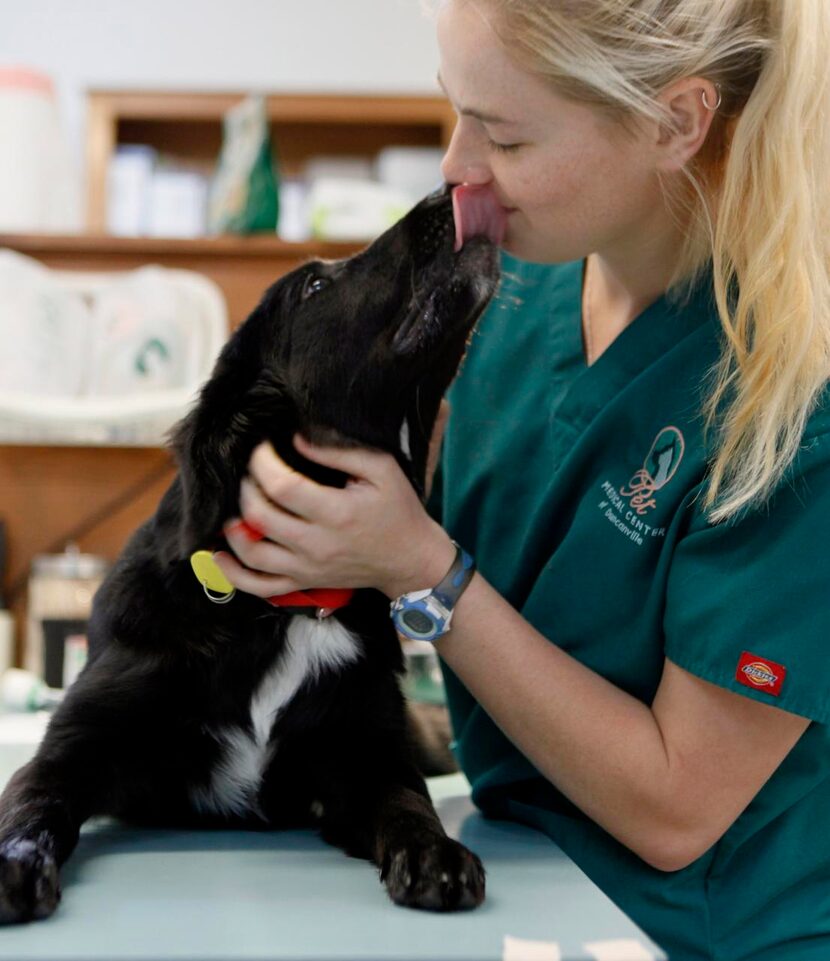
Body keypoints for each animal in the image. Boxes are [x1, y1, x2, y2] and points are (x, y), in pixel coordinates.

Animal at [0, 182, 500, 924]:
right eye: (316, 285)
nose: (448, 187)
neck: (286, 607)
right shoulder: (74, 745)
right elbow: (34, 798)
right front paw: (12, 859)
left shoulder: (369, 753)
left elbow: (408, 800)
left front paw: (433, 851)